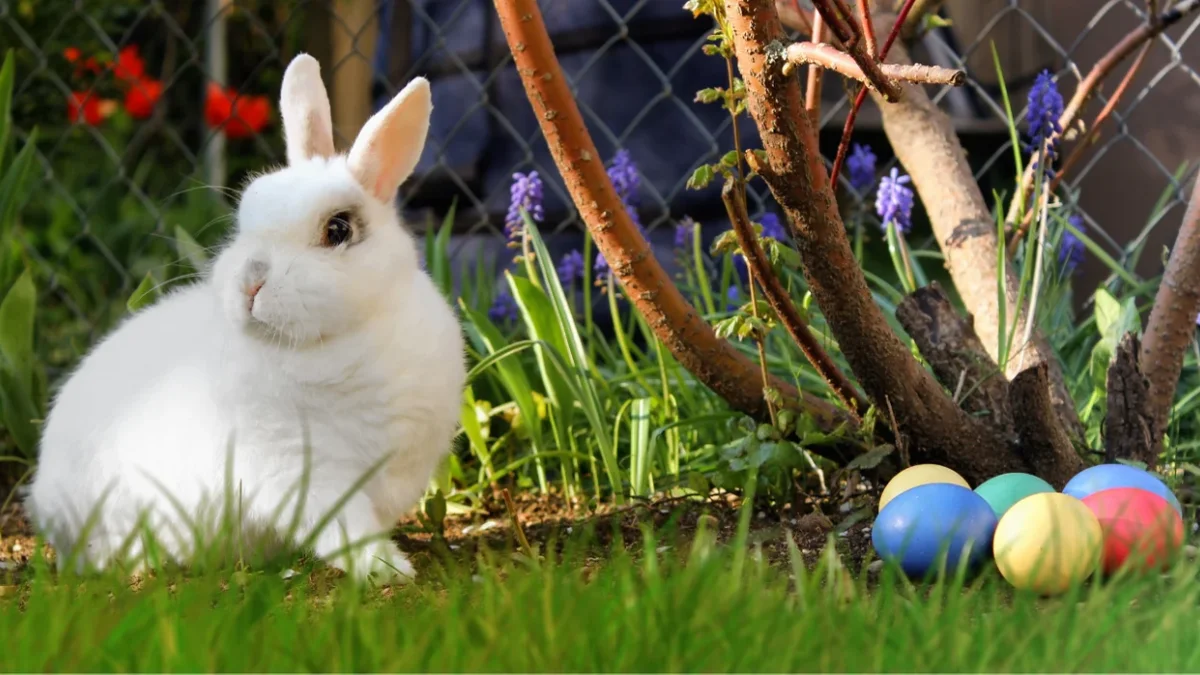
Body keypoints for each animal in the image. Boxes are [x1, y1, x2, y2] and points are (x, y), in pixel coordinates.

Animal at [24, 53, 463, 578]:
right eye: (245, 219)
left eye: (338, 229)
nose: (250, 283)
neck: (342, 340)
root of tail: (43, 502)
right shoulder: (300, 469)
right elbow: (343, 525)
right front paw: (385, 569)